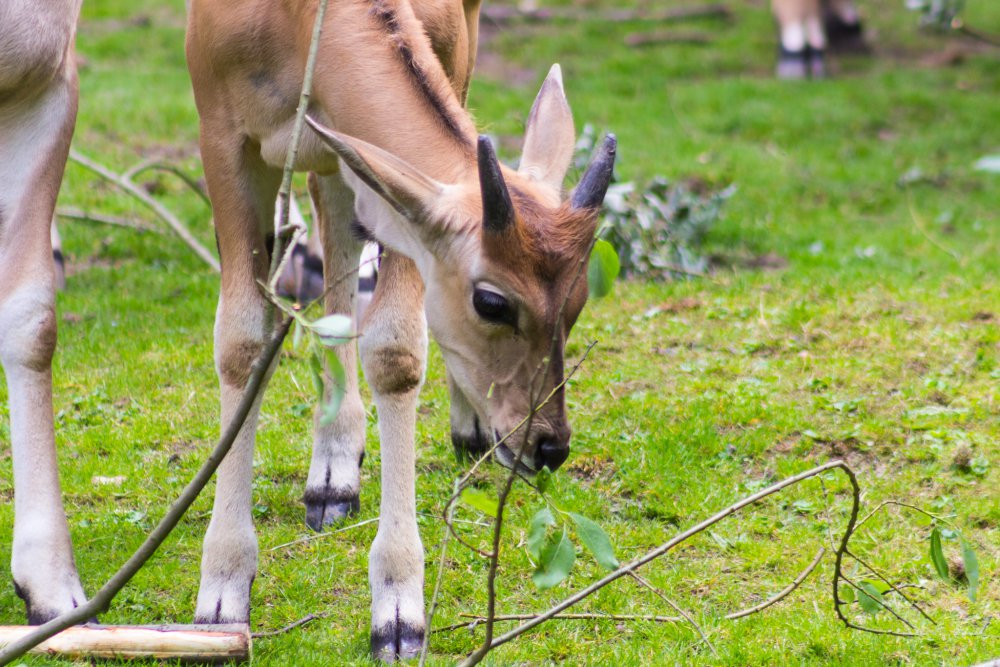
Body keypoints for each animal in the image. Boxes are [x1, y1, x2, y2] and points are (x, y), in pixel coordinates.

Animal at [185, 0, 612, 660]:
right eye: (492, 301)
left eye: (579, 300)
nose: (548, 444)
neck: (300, 24)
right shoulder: (221, 129)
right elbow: (243, 341)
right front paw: (222, 594)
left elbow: (396, 350)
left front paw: (398, 614)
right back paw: (332, 475)